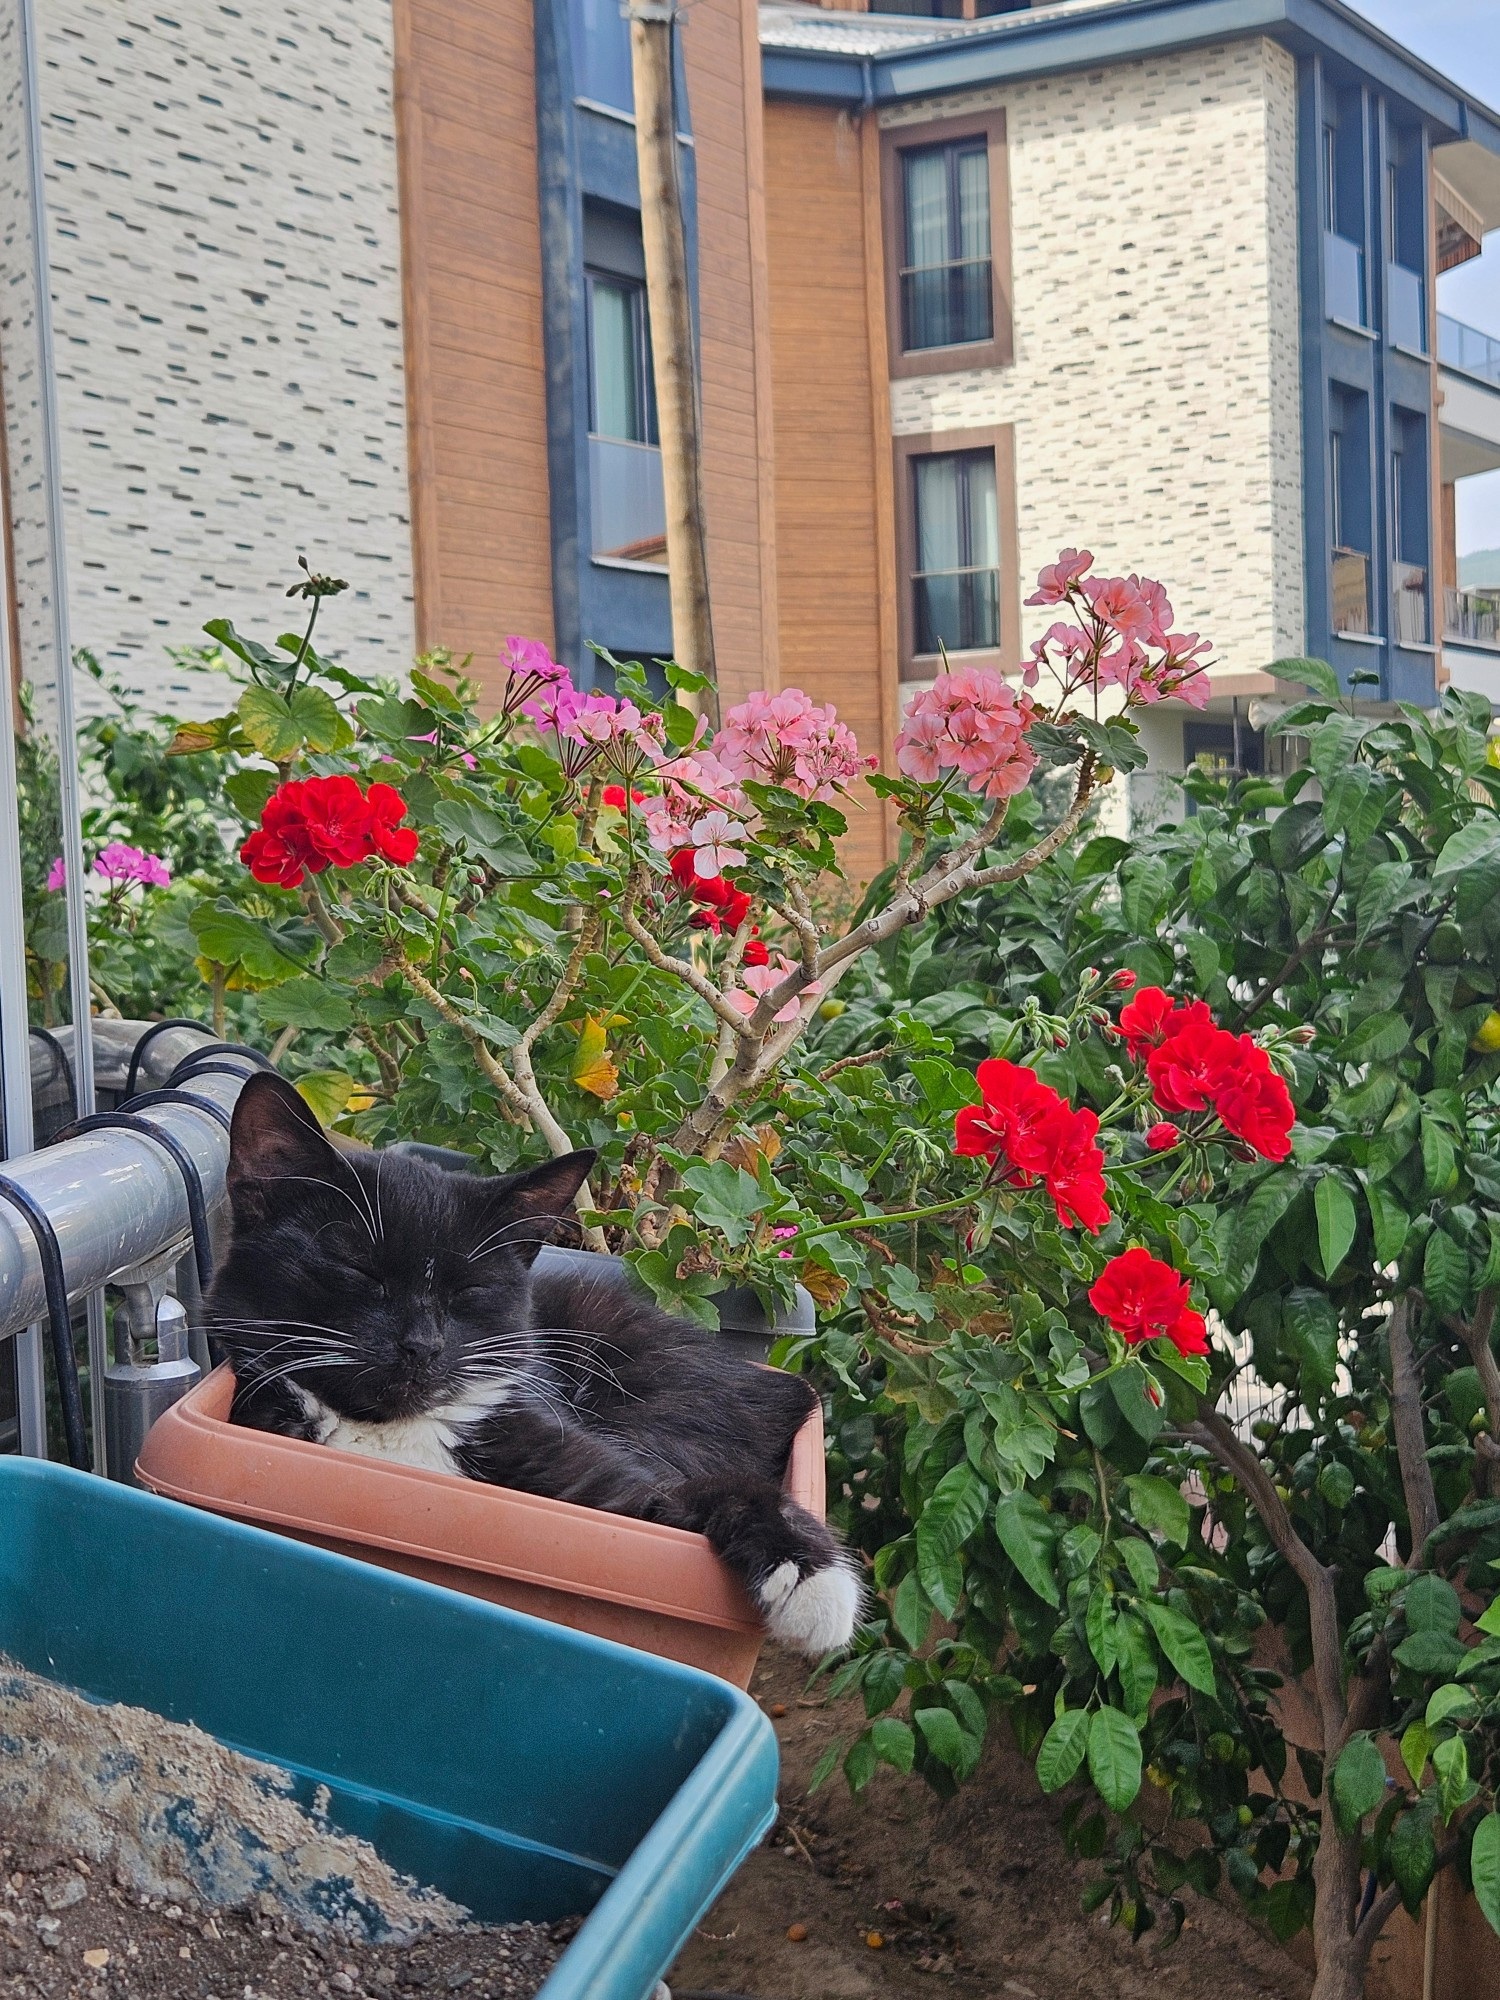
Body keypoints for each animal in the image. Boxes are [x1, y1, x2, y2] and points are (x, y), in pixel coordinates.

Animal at [207, 1080, 864, 1656]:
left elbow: (681, 1494)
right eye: (357, 1269)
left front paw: (815, 1581)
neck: (392, 1433)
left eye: (469, 1289)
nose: (422, 1345)